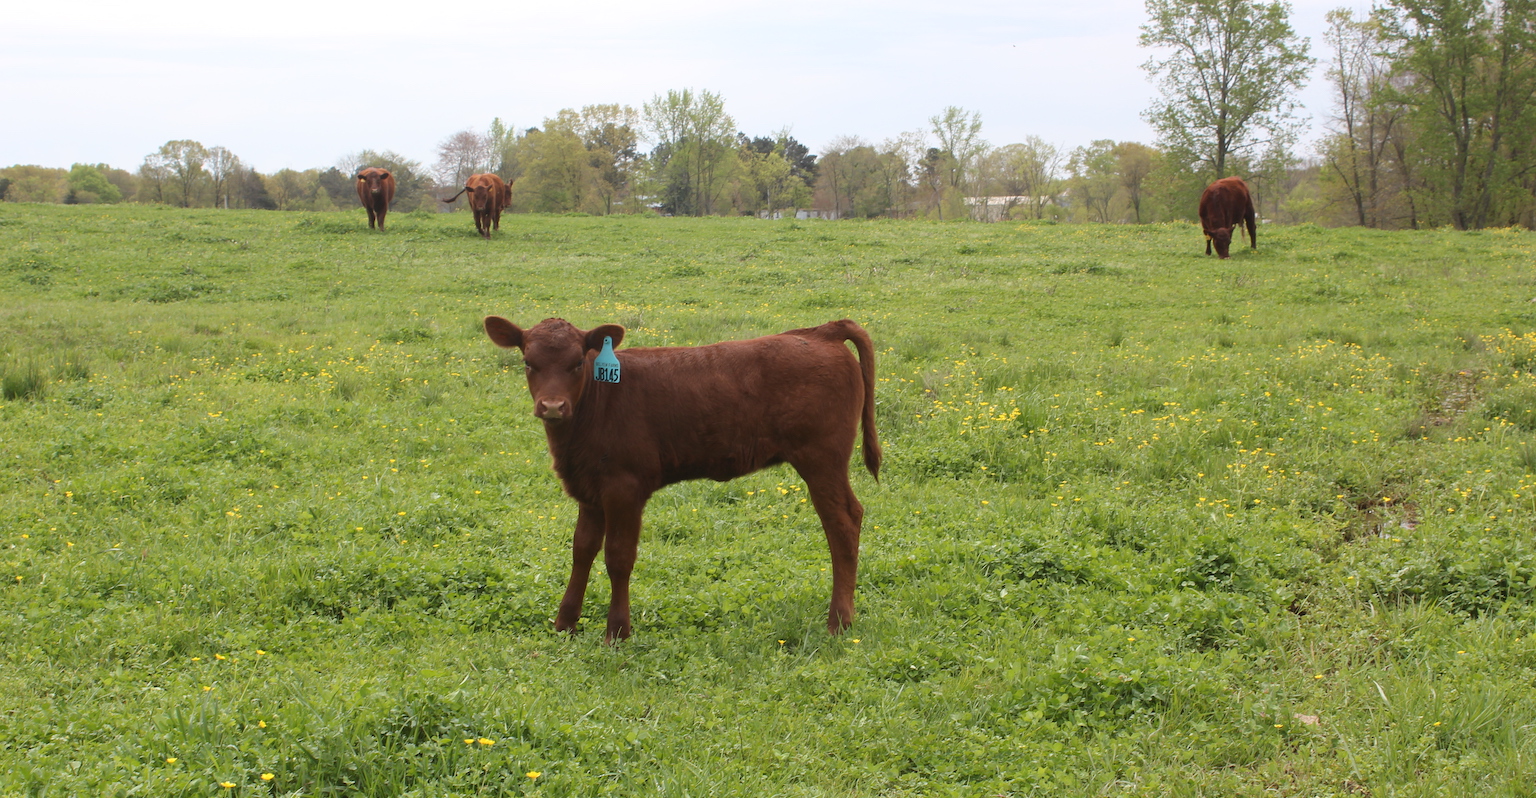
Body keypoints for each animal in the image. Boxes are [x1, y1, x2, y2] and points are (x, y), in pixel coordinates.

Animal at [484, 316, 882, 642]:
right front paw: (564, 624)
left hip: (822, 459)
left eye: (578, 363)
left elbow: (618, 556)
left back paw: (839, 622)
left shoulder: (625, 487)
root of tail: (822, 332)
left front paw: (618, 632)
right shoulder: (589, 489)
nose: (552, 406)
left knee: (843, 523)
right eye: (528, 363)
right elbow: (582, 550)